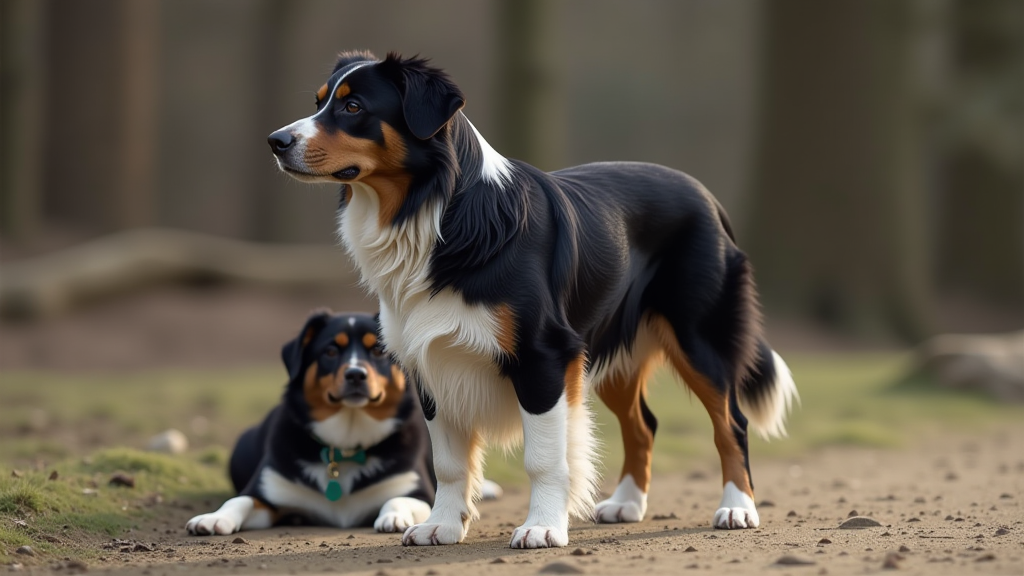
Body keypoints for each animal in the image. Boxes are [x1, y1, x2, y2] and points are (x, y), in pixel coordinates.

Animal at [186, 311, 442, 532]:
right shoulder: (267, 490)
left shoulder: (421, 494)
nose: (355, 375)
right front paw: (214, 518)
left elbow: (397, 500)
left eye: (378, 350)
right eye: (330, 351)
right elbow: (238, 501)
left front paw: (394, 517)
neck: (346, 445)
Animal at [272, 50, 798, 545]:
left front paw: (543, 527)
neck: (437, 214)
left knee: (731, 423)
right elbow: (449, 464)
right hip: (605, 349)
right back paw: (627, 503)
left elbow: (543, 458)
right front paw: (442, 526)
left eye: (353, 106)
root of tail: (708, 197)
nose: (276, 141)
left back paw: (737, 508)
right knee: (643, 424)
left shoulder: (543, 356)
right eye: (319, 103)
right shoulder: (431, 361)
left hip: (697, 339)